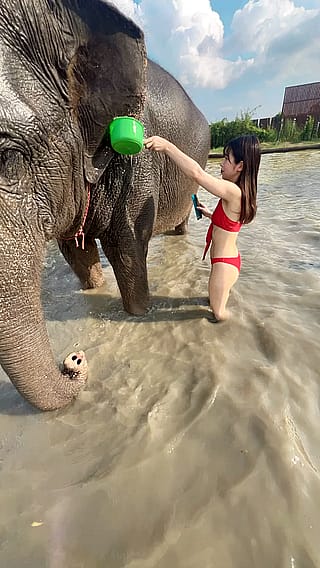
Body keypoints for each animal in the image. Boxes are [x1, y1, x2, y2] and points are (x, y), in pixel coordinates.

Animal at [0, 0, 210, 408]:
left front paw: (139, 313)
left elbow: (126, 247)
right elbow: (76, 251)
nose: (75, 358)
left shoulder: (136, 164)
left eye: (5, 157)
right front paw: (94, 288)